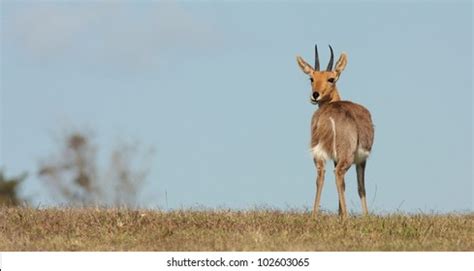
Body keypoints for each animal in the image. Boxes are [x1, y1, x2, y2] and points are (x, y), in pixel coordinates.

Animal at [296, 45, 374, 219]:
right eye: (311, 78)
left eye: (330, 78)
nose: (315, 95)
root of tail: (329, 115)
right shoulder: (362, 160)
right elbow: (361, 187)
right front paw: (365, 216)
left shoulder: (334, 157)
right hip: (347, 156)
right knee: (338, 174)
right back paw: (346, 217)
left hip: (318, 153)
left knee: (321, 175)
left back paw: (314, 215)